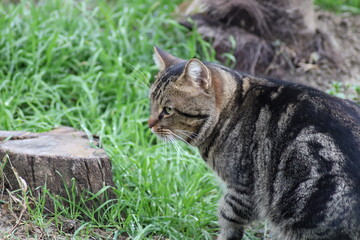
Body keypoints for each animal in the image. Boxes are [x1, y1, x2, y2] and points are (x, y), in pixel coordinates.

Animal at [148, 46, 358, 239]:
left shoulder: (242, 190)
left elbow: (227, 218)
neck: (231, 110)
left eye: (167, 110)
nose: (149, 124)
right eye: (151, 102)